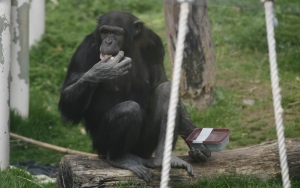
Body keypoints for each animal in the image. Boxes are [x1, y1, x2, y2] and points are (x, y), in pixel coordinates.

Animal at [58, 10, 211, 181]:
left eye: (116, 33)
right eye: (104, 31)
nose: (108, 41)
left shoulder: (153, 44)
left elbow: (160, 81)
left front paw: (199, 144)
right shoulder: (85, 50)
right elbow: (68, 96)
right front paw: (102, 70)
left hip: (146, 146)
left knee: (166, 90)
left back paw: (164, 158)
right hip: (100, 145)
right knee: (128, 109)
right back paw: (120, 158)